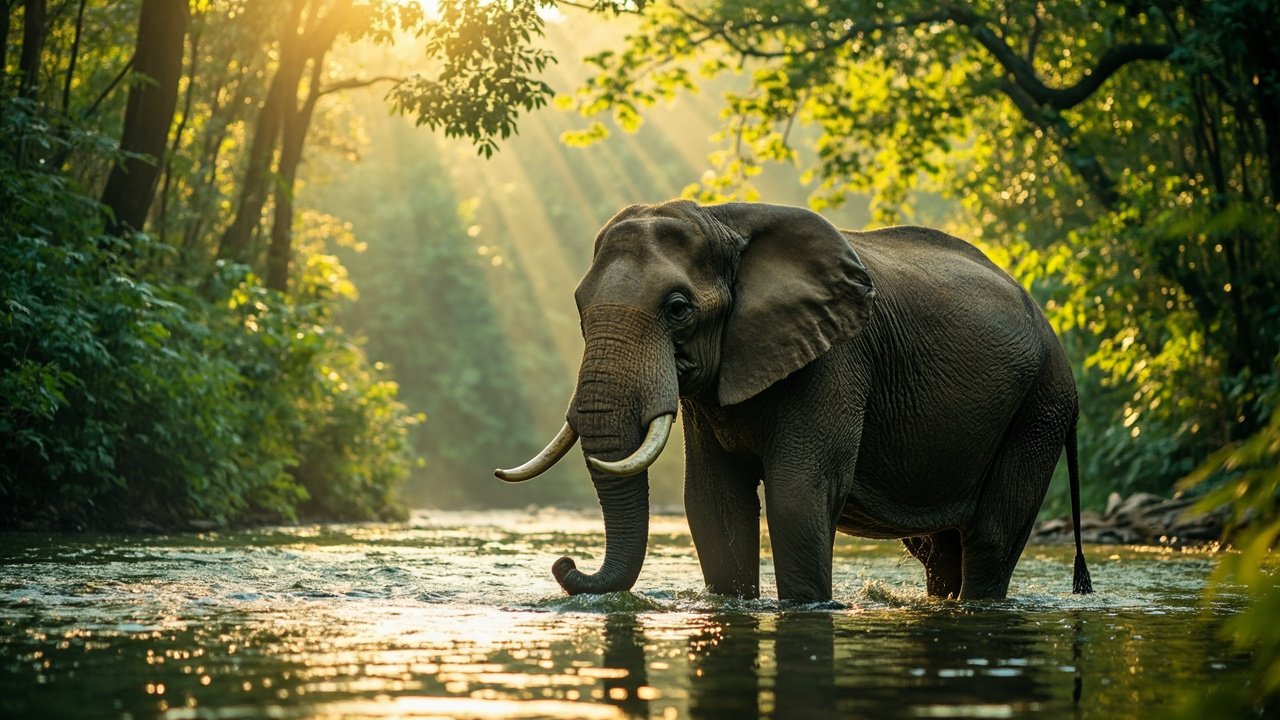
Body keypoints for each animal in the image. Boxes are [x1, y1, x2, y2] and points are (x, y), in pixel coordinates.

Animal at [496, 200, 1093, 602]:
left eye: (677, 308)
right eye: (579, 304)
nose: (564, 563)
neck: (722, 220)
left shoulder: (836, 357)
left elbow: (798, 494)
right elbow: (712, 502)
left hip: (1041, 404)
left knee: (991, 535)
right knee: (938, 550)